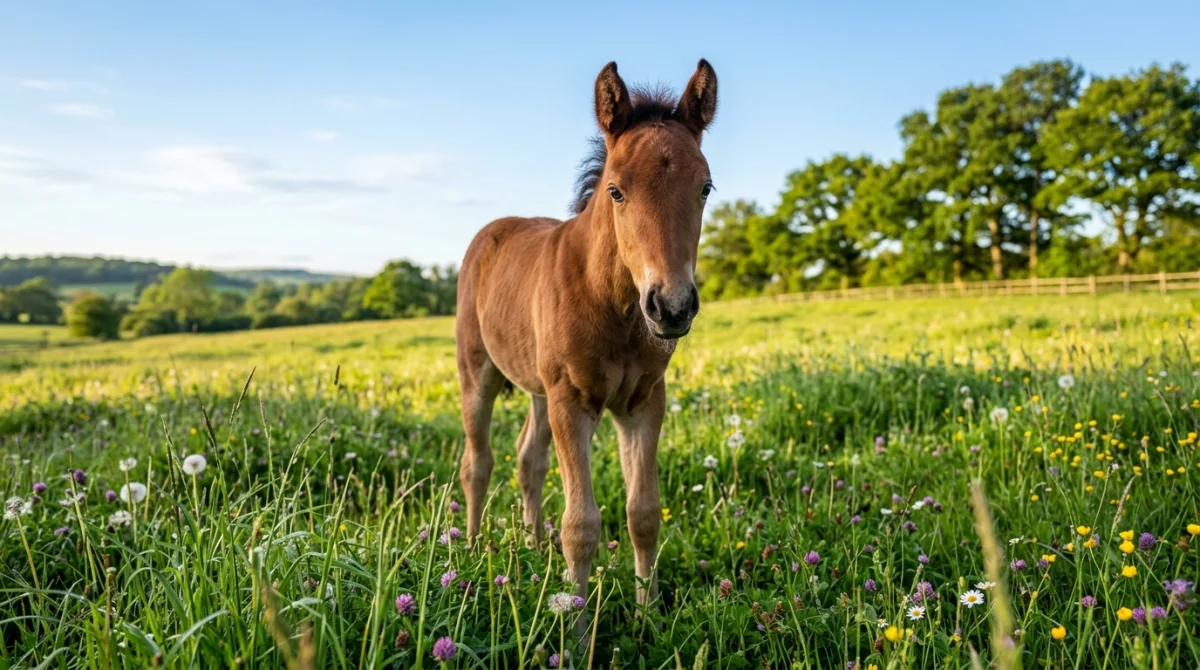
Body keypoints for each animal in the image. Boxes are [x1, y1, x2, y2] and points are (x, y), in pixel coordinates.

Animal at [454, 59, 718, 617]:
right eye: (616, 190)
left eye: (705, 188)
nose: (672, 305)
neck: (615, 305)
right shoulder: (572, 400)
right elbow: (581, 526)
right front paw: (573, 624)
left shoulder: (644, 401)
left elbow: (644, 513)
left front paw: (647, 615)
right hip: (478, 374)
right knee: (478, 462)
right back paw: (469, 546)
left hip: (537, 388)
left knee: (528, 459)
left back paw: (533, 546)